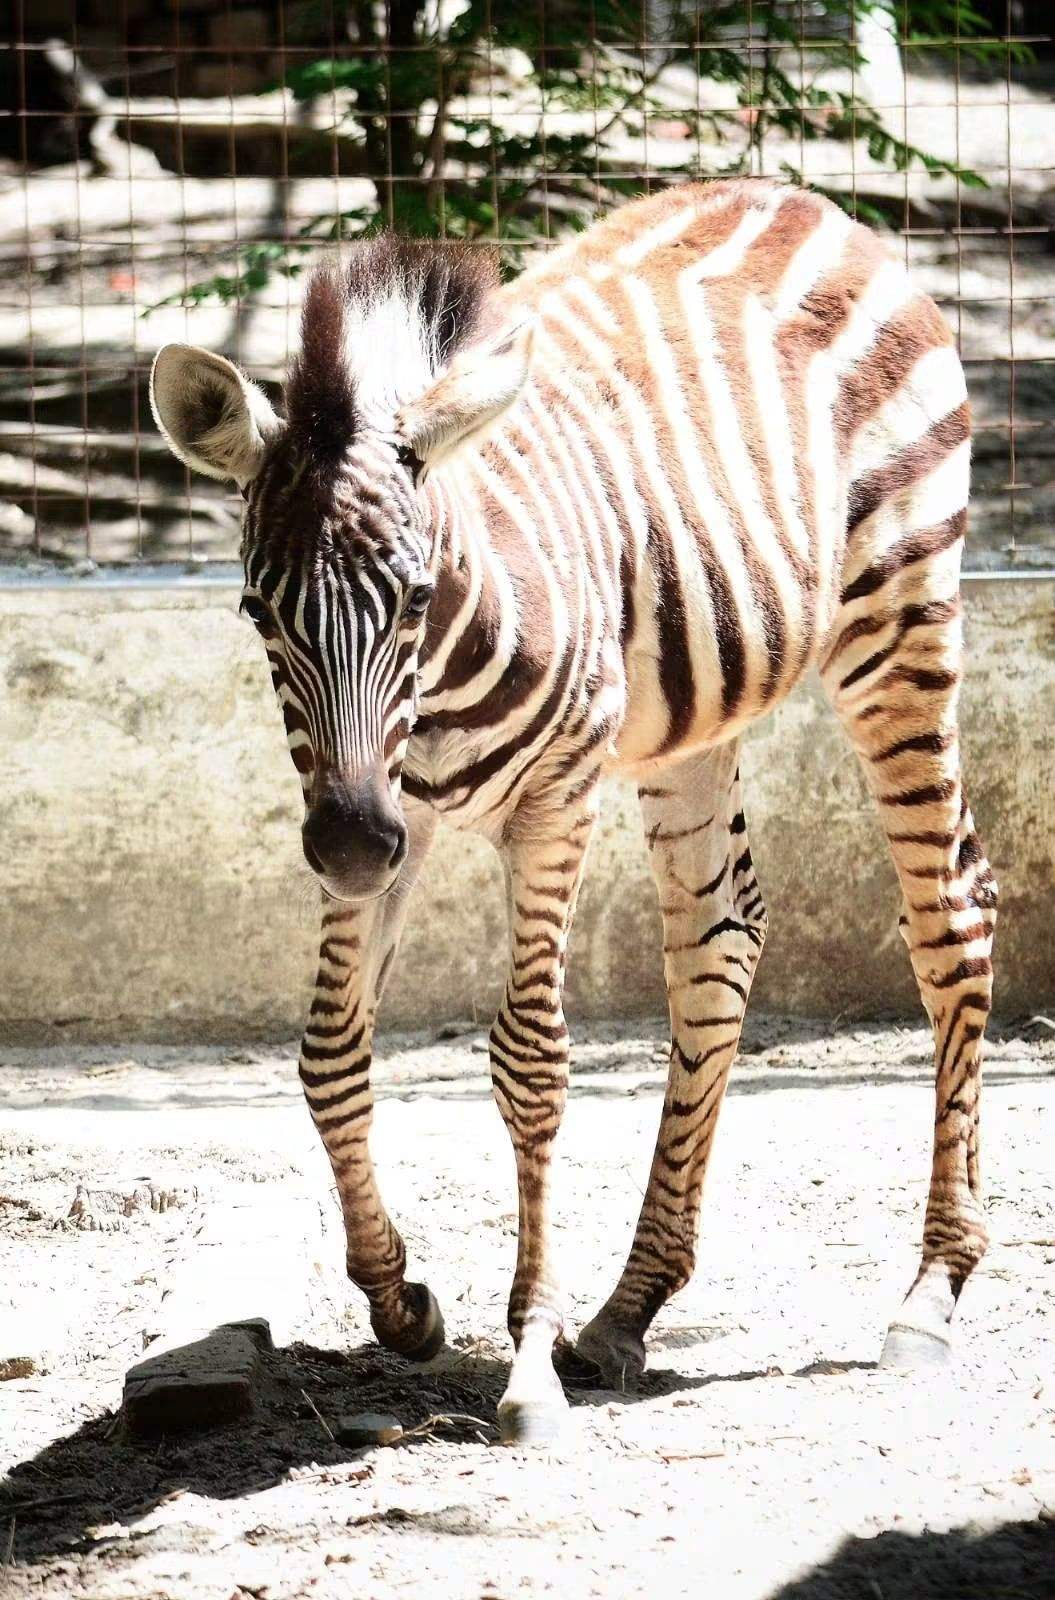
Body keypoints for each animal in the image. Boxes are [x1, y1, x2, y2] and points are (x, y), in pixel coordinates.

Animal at [150, 179, 997, 1446]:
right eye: (258, 610)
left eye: (412, 597)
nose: (344, 847)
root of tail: (802, 200)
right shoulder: (390, 812)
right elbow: (328, 1051)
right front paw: (399, 1298)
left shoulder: (548, 802)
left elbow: (531, 1061)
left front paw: (528, 1360)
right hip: (690, 714)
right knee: (717, 940)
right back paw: (627, 1307)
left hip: (896, 617)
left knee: (950, 915)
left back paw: (931, 1291)